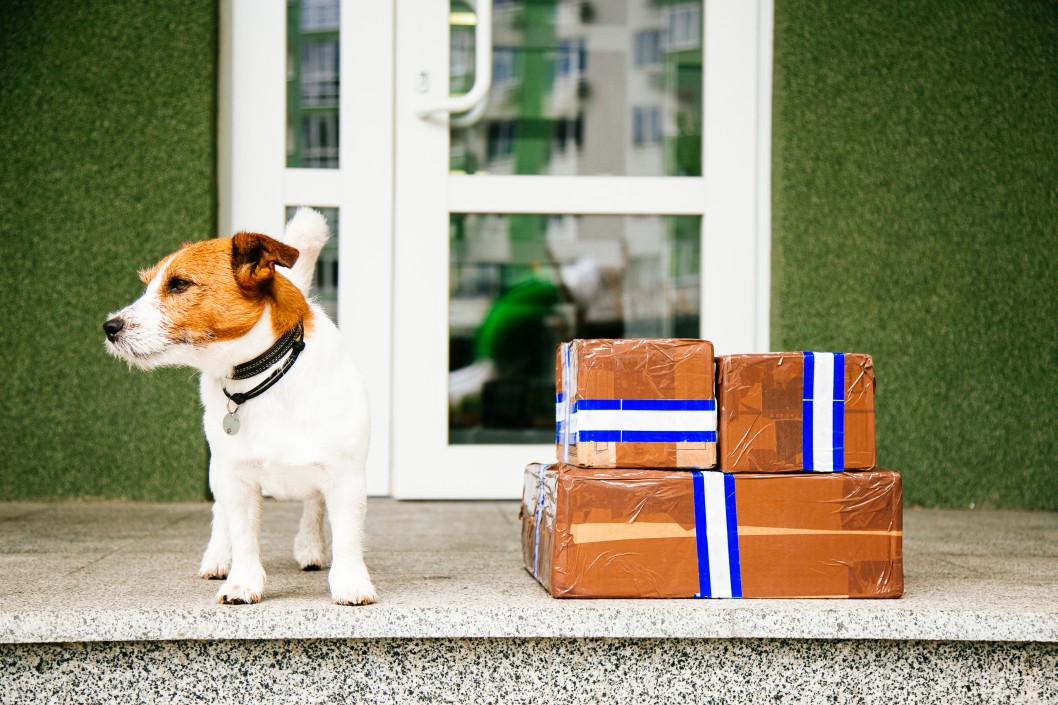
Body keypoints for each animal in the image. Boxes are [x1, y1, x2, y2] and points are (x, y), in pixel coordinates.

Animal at [103, 208, 376, 605]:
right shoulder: (238, 479)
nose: (110, 327)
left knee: (313, 504)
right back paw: (218, 557)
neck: (265, 373)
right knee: (221, 516)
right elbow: (243, 536)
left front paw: (351, 582)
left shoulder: (345, 476)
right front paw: (242, 583)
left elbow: (348, 538)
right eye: (147, 284)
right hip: (218, 470)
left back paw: (309, 546)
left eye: (179, 284)